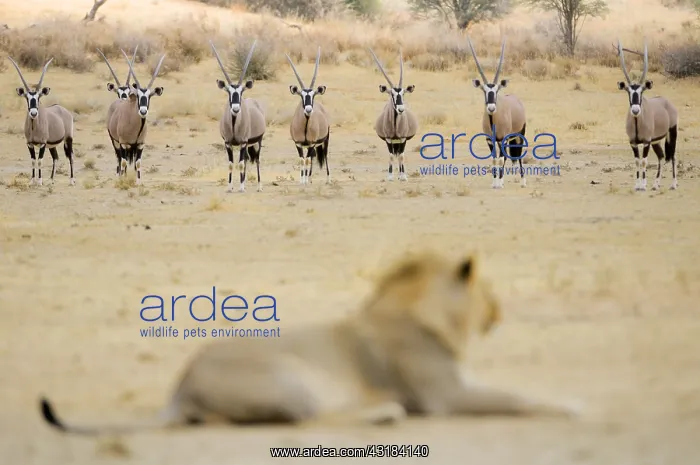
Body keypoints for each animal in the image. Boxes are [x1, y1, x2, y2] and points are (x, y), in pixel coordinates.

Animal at [40, 251, 582, 435]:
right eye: (488, 289)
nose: (500, 311)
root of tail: (179, 389)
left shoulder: (459, 384)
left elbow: (515, 390)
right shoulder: (447, 397)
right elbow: (520, 397)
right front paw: (573, 406)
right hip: (291, 375)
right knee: (306, 419)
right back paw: (383, 414)